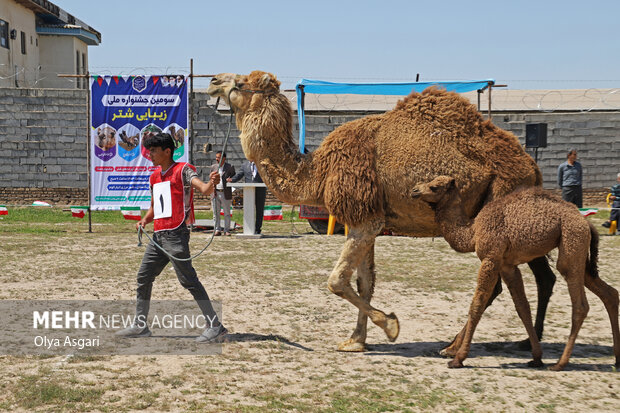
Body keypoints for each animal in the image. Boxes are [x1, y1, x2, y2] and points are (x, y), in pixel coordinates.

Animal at [412, 175, 620, 368]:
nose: (414, 190)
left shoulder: (491, 258)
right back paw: (616, 360)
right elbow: (522, 307)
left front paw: (457, 359)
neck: (473, 231)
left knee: (580, 304)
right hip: (579, 254)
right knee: (609, 293)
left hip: (572, 241)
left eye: (434, 186)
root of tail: (586, 223)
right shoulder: (507, 266)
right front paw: (536, 357)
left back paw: (560, 364)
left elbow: (477, 303)